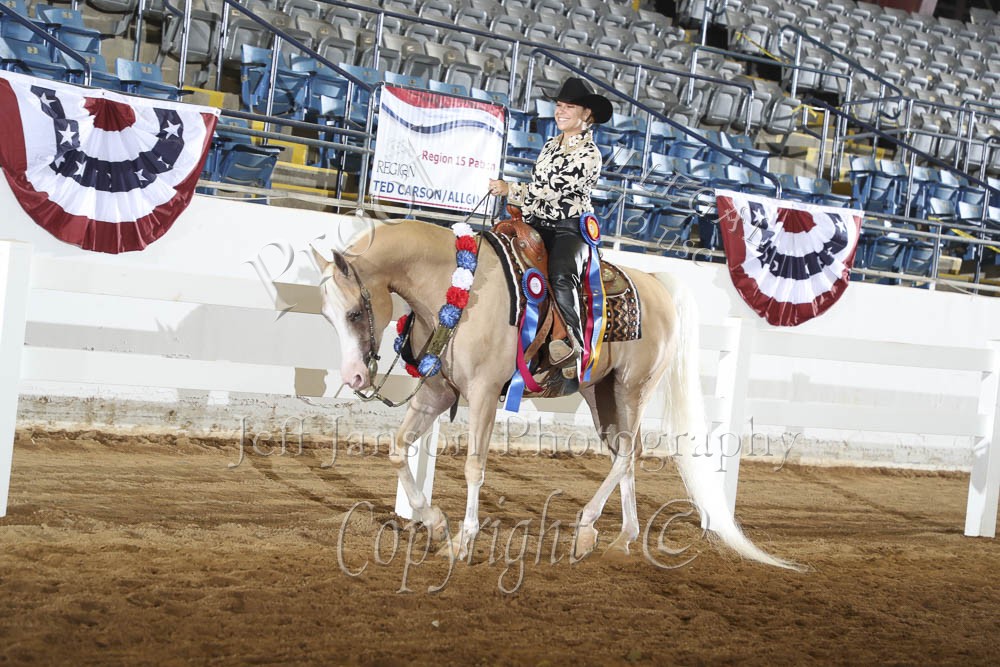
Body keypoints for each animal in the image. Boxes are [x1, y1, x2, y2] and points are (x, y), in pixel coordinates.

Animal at [316, 219, 792, 568]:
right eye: (327, 315)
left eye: (355, 312)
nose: (354, 378)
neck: (454, 289)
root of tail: (656, 281)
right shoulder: (436, 392)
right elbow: (398, 449)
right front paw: (434, 524)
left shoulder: (484, 394)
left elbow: (473, 468)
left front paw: (463, 542)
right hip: (601, 396)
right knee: (627, 453)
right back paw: (619, 538)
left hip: (632, 387)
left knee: (628, 455)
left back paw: (588, 524)